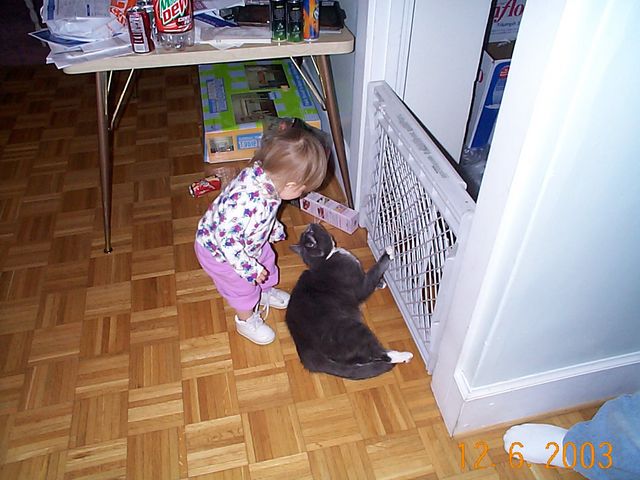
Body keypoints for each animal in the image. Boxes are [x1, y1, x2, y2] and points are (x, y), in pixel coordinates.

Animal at [286, 223, 413, 380]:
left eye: (307, 231)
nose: (311, 224)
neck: (325, 259)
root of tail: (305, 350)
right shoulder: (361, 287)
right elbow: (373, 273)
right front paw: (388, 253)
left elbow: (370, 277)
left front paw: (381, 283)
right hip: (353, 330)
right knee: (379, 353)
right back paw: (403, 355)